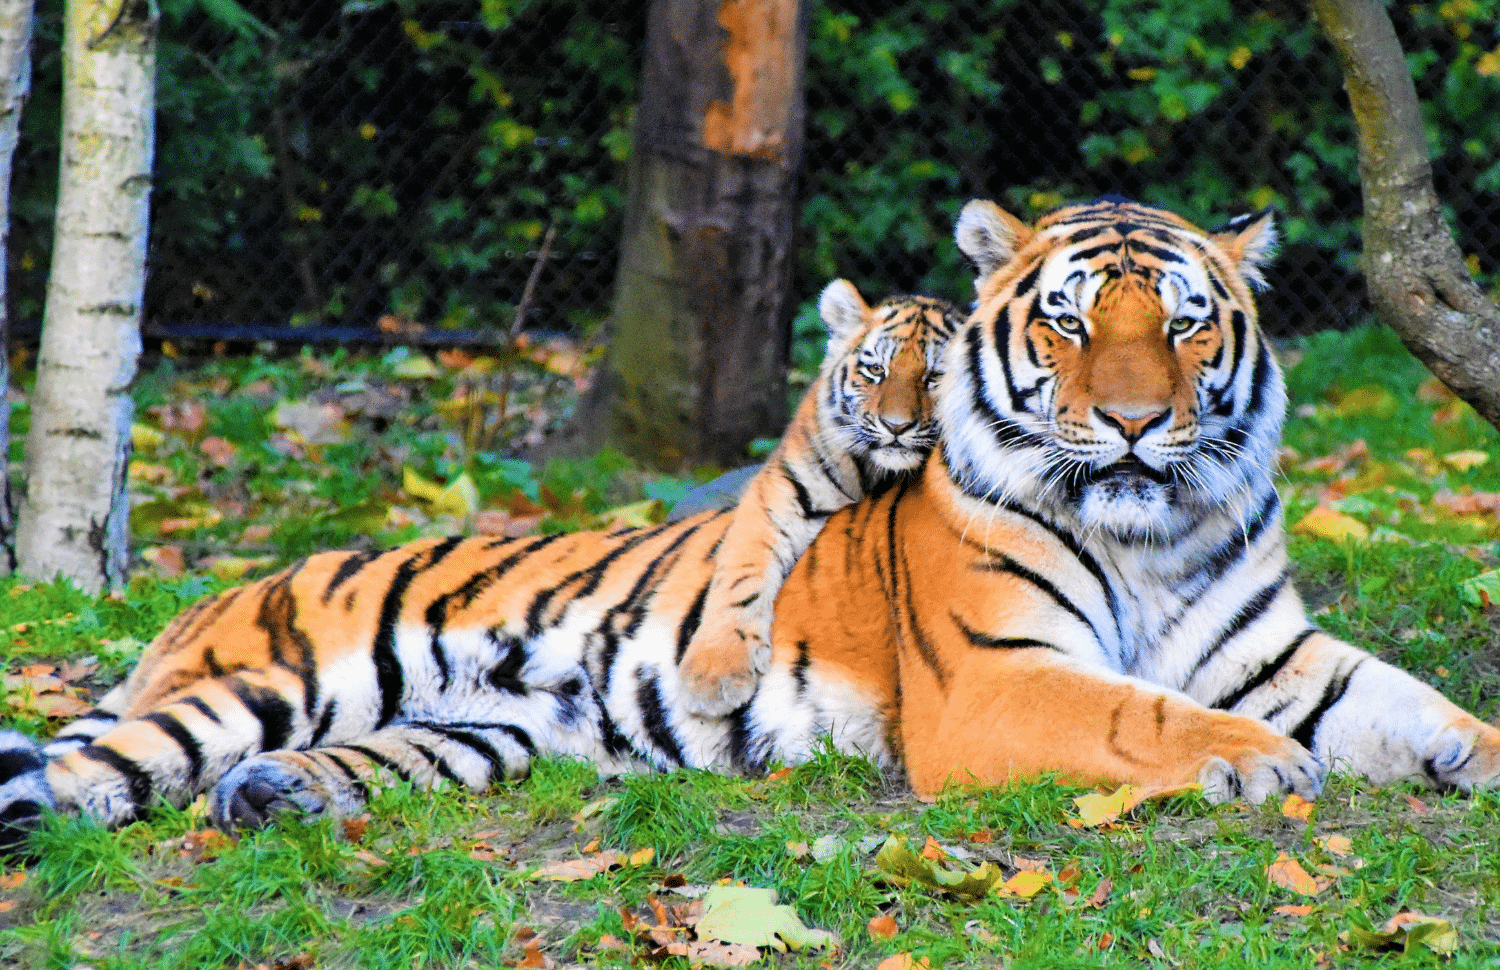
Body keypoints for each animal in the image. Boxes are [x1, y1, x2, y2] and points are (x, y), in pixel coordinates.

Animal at [2, 194, 1500, 833]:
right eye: (1072, 323)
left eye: (1186, 325)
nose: (1135, 422)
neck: (1158, 531)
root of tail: (220, 590)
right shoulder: (998, 681)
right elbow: (1150, 716)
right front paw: (1262, 763)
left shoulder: (1279, 652)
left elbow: (1419, 705)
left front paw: (1463, 753)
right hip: (271, 679)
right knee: (105, 764)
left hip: (481, 733)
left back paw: (275, 799)